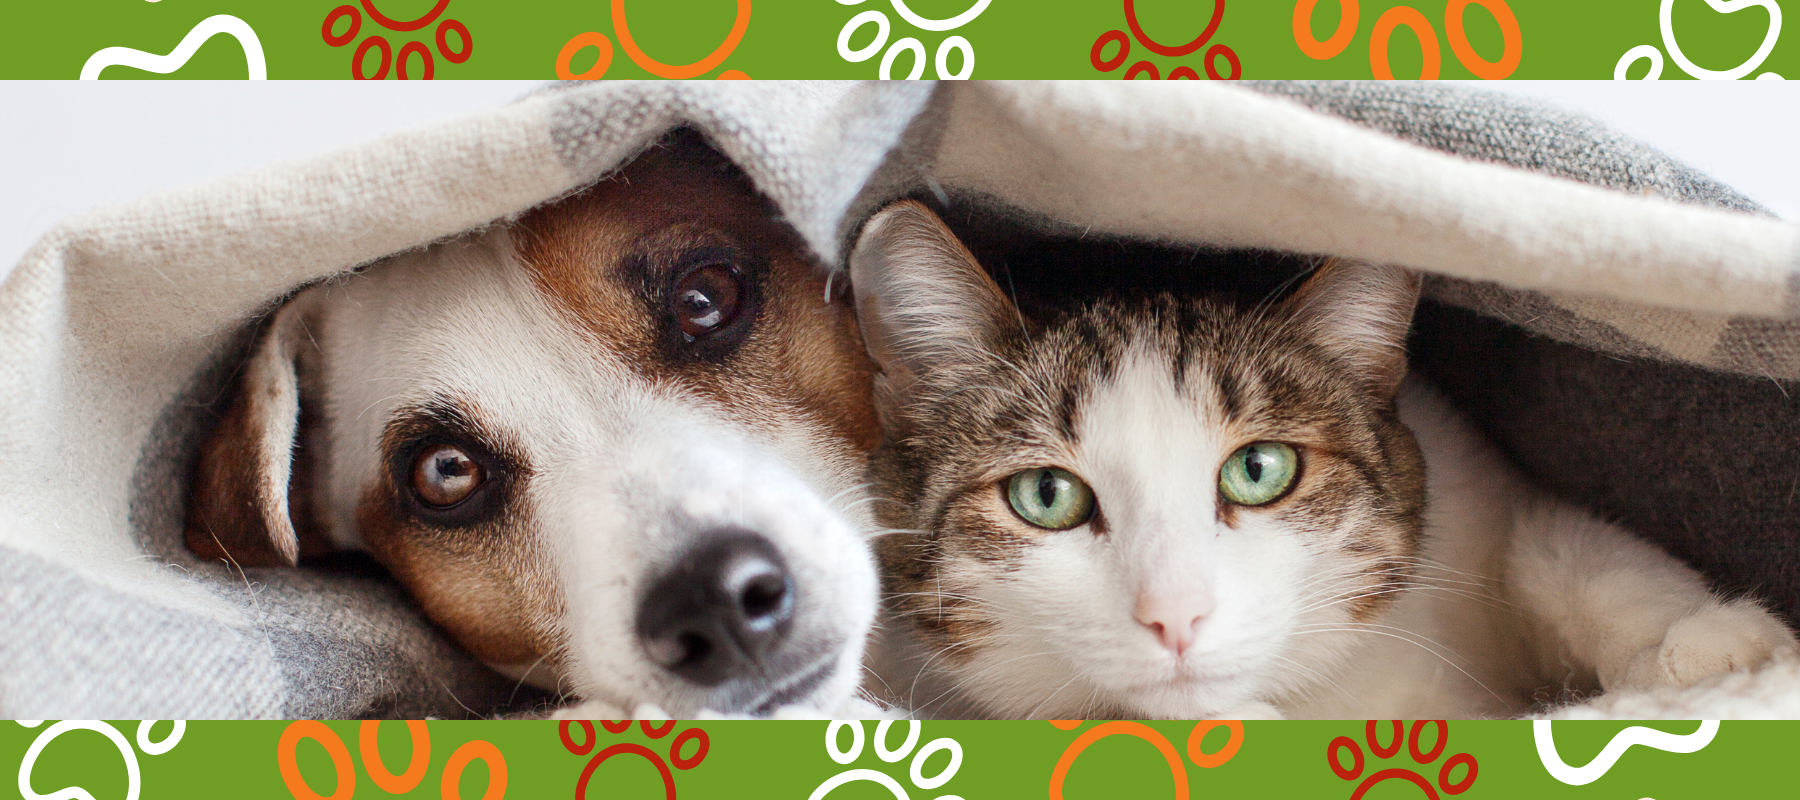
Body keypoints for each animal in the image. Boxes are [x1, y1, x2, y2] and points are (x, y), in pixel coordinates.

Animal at [846, 200, 1800, 717]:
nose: (1176, 616)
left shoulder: (1470, 474)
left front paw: (1704, 645)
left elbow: (1560, 547)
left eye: (1259, 470)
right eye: (1046, 495)